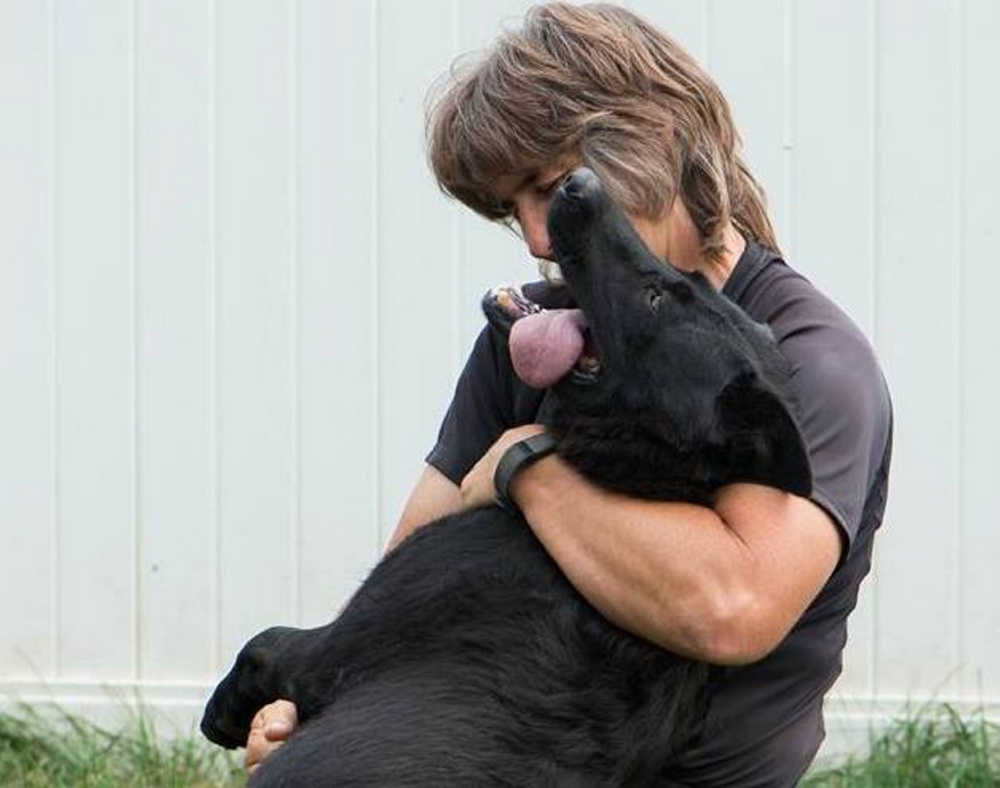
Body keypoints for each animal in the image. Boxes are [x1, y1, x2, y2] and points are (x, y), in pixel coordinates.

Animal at [201, 169, 812, 784]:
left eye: (655, 297)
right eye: (684, 280)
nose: (580, 182)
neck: (638, 476)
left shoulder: (329, 649)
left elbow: (263, 644)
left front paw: (222, 714)